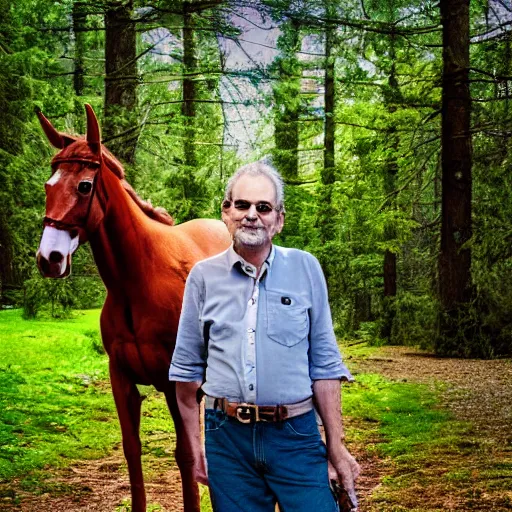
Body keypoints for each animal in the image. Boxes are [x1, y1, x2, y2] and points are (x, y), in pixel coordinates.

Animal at [34, 105, 230, 512]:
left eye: (85, 186)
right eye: (48, 184)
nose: (49, 259)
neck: (137, 282)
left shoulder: (174, 384)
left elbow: (184, 454)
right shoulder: (121, 379)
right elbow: (132, 450)